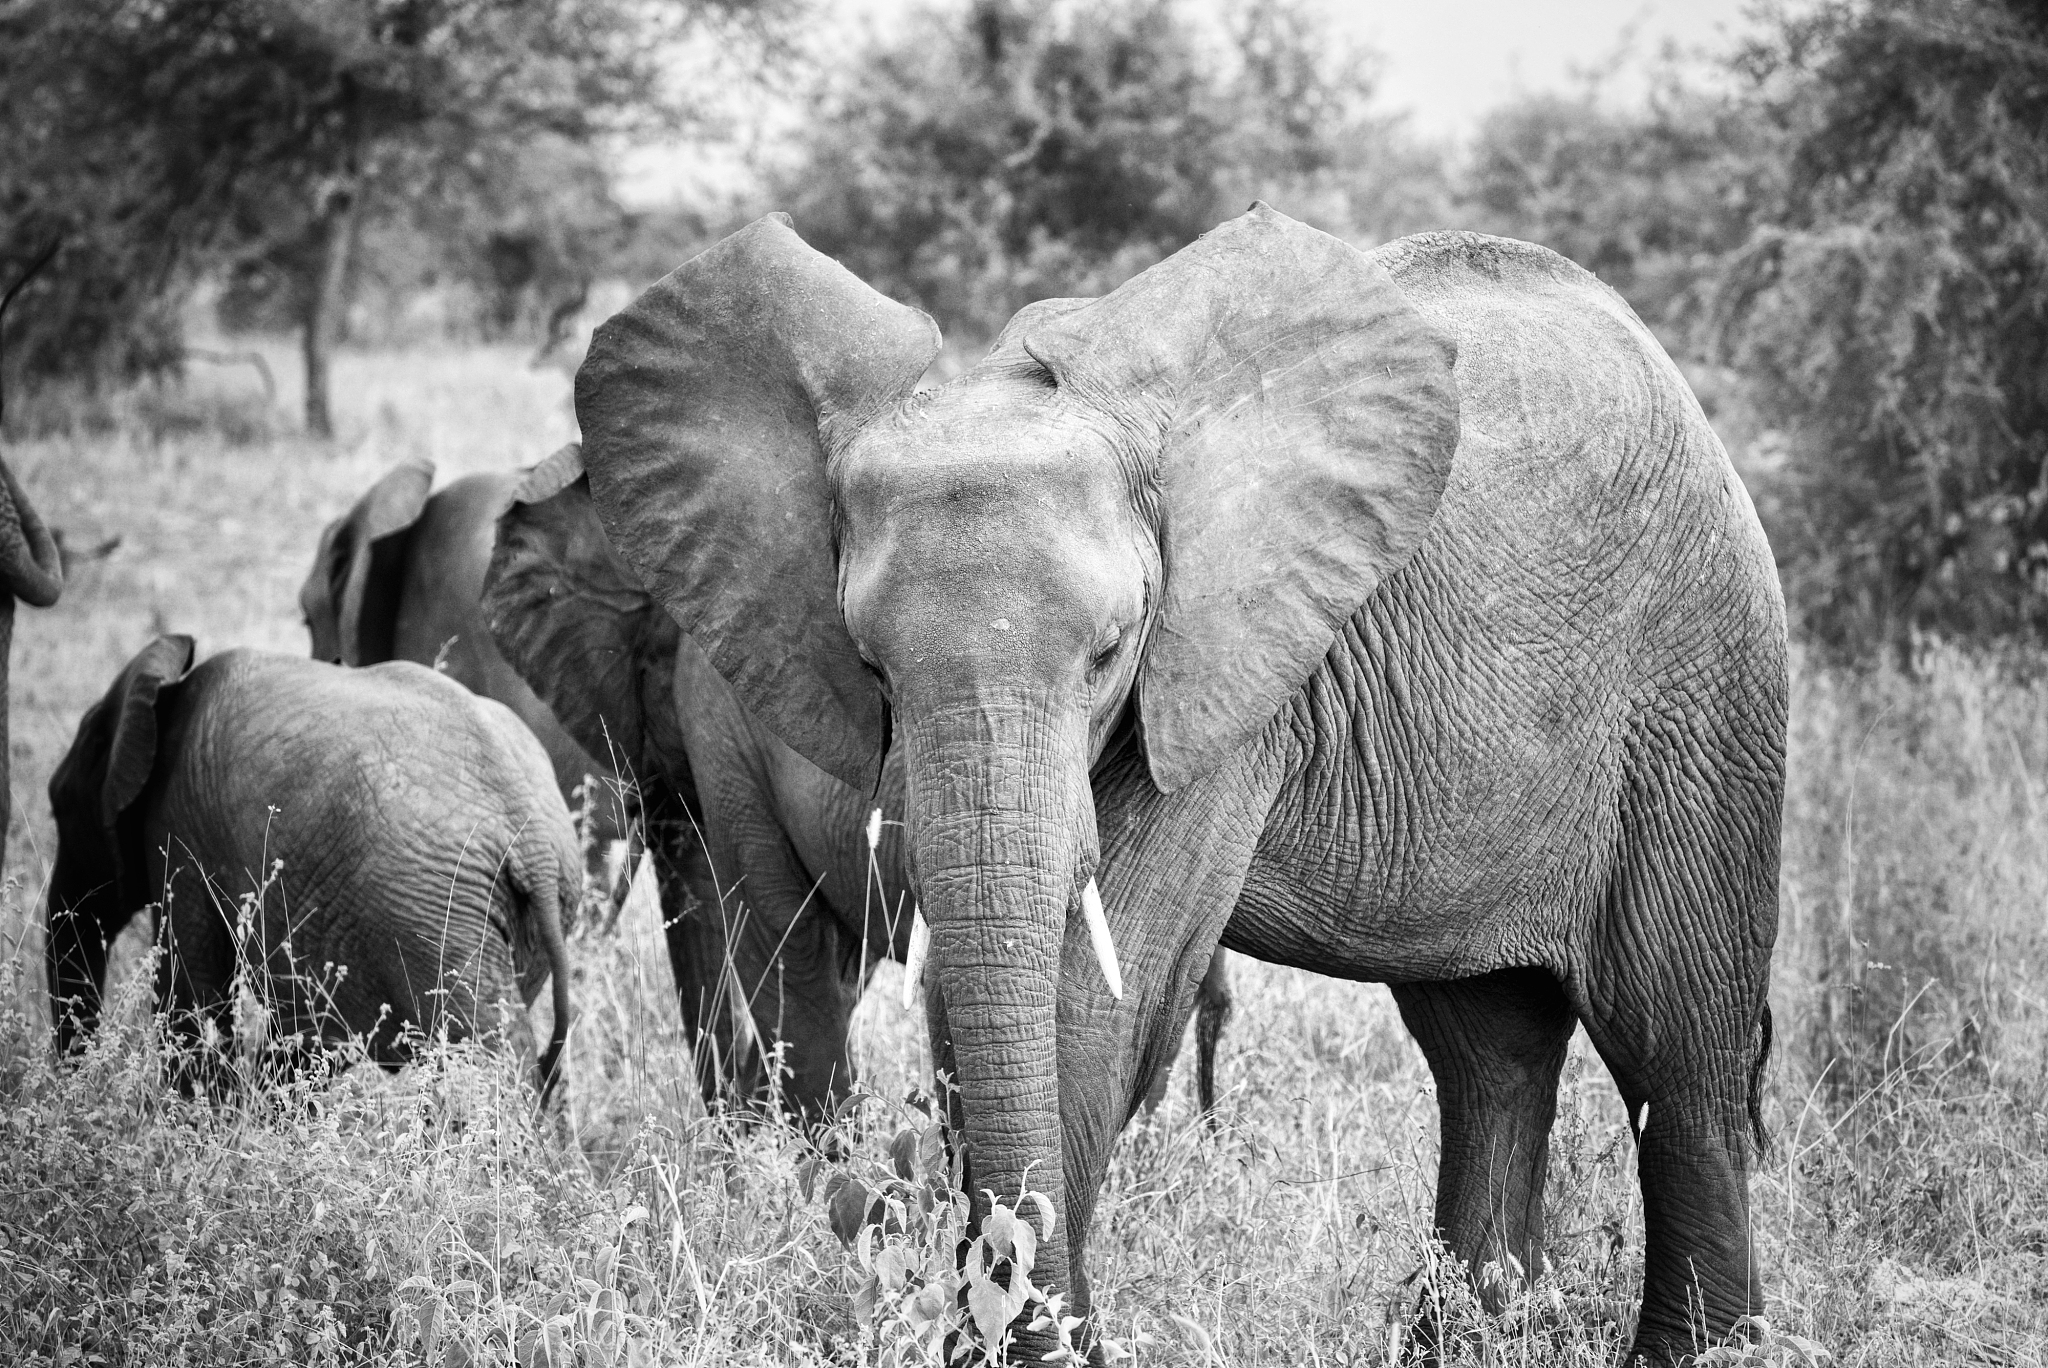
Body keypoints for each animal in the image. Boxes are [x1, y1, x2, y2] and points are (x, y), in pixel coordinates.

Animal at [44, 636, 578, 1099]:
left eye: (58, 807)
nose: (73, 1084)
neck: (162, 694)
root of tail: (532, 838)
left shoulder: (179, 827)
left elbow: (188, 993)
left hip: (433, 915)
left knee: (483, 1056)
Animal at [573, 206, 1786, 1363]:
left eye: (1110, 653)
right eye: (870, 669)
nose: (1033, 1323)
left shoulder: (1226, 673)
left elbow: (1089, 1000)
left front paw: (1045, 1346)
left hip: (1700, 690)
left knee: (1676, 1046)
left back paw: (1699, 1352)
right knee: (1487, 1051)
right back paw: (1462, 1341)